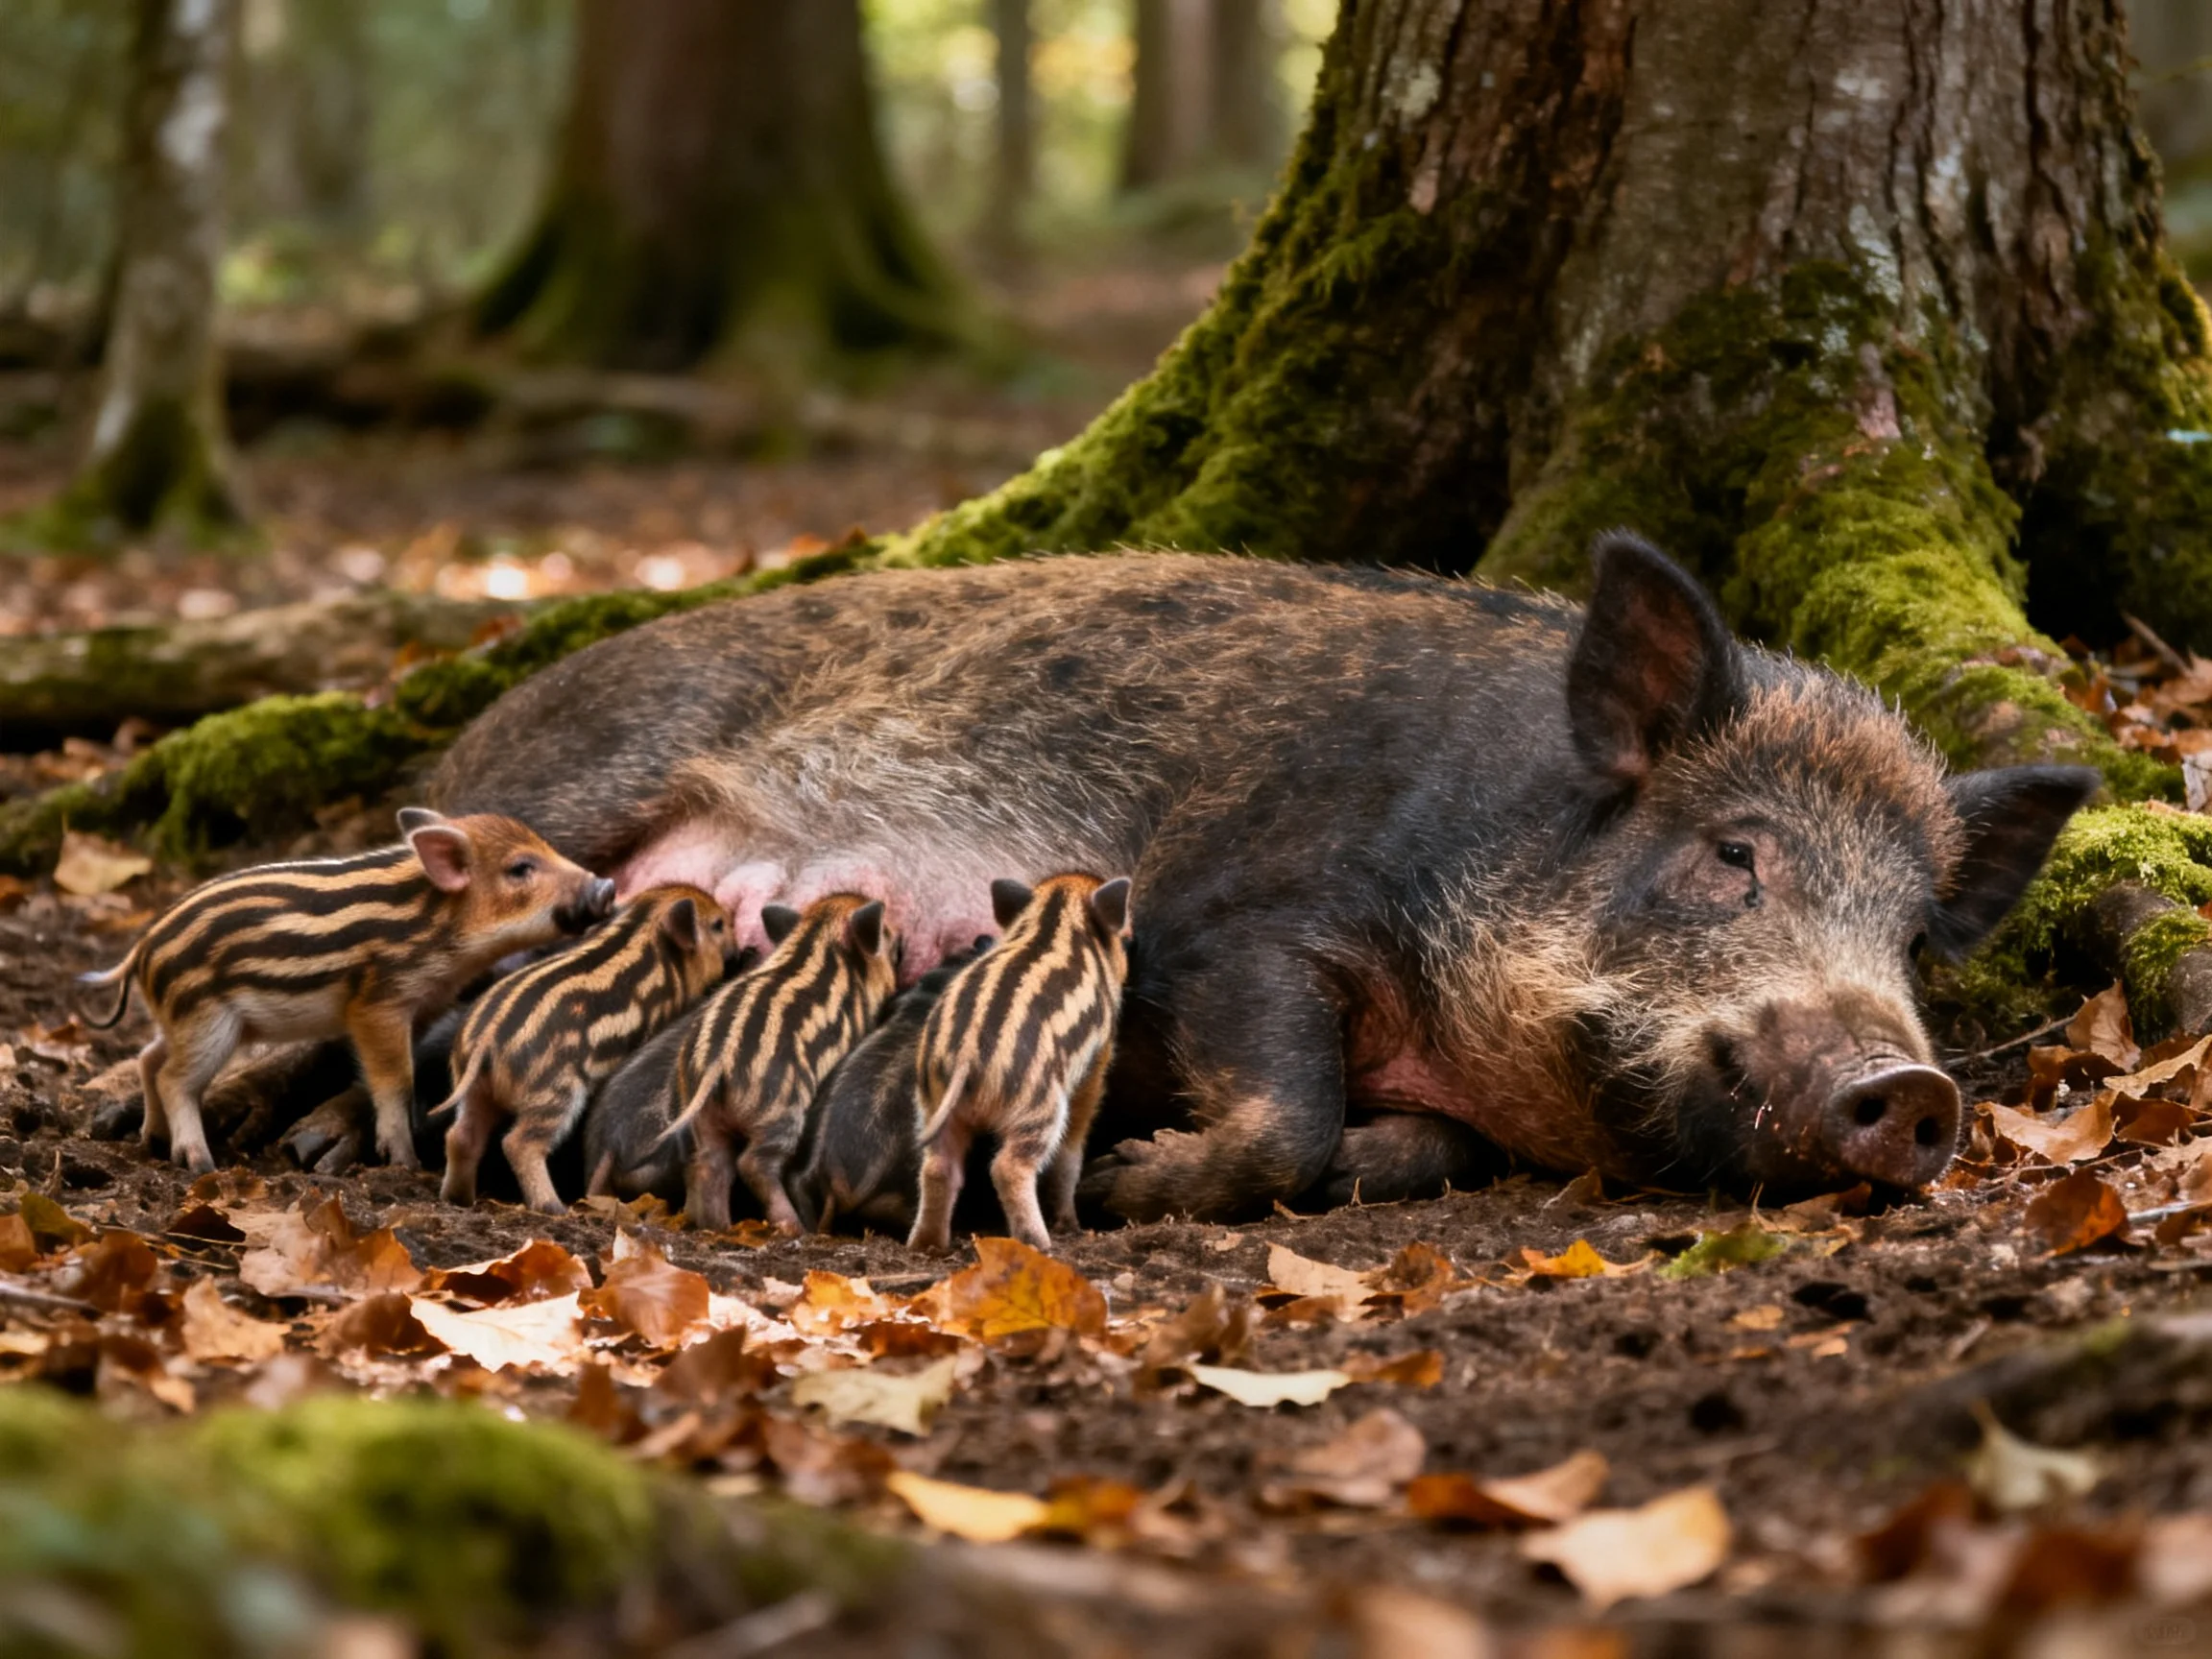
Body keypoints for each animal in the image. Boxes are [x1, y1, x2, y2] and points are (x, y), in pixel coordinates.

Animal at [80, 807, 615, 1175]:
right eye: (520, 868)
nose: (607, 886)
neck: (435, 926)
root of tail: (142, 950)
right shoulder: (378, 1004)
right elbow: (395, 1079)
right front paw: (403, 1162)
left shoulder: (422, 1005)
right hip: (209, 1022)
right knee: (174, 1077)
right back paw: (198, 1161)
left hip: (182, 1019)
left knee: (149, 1059)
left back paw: (152, 1140)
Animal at [437, 884, 736, 1213]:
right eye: (717, 925)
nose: (738, 944)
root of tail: (484, 1041)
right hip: (555, 1093)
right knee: (518, 1144)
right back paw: (554, 1207)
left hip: (475, 1092)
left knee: (460, 1136)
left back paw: (457, 1198)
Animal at [660, 893, 900, 1233]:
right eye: (887, 933)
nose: (901, 941)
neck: (819, 937)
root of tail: (716, 1065)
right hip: (781, 1109)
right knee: (753, 1164)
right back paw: (793, 1228)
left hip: (704, 1118)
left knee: (709, 1162)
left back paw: (717, 1227)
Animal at [909, 875, 1132, 1252]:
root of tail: (966, 1056)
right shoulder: (1096, 1064)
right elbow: (1071, 1152)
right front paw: (1071, 1225)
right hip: (1039, 1105)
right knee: (1008, 1167)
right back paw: (1039, 1244)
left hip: (934, 1103)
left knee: (937, 1168)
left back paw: (926, 1245)